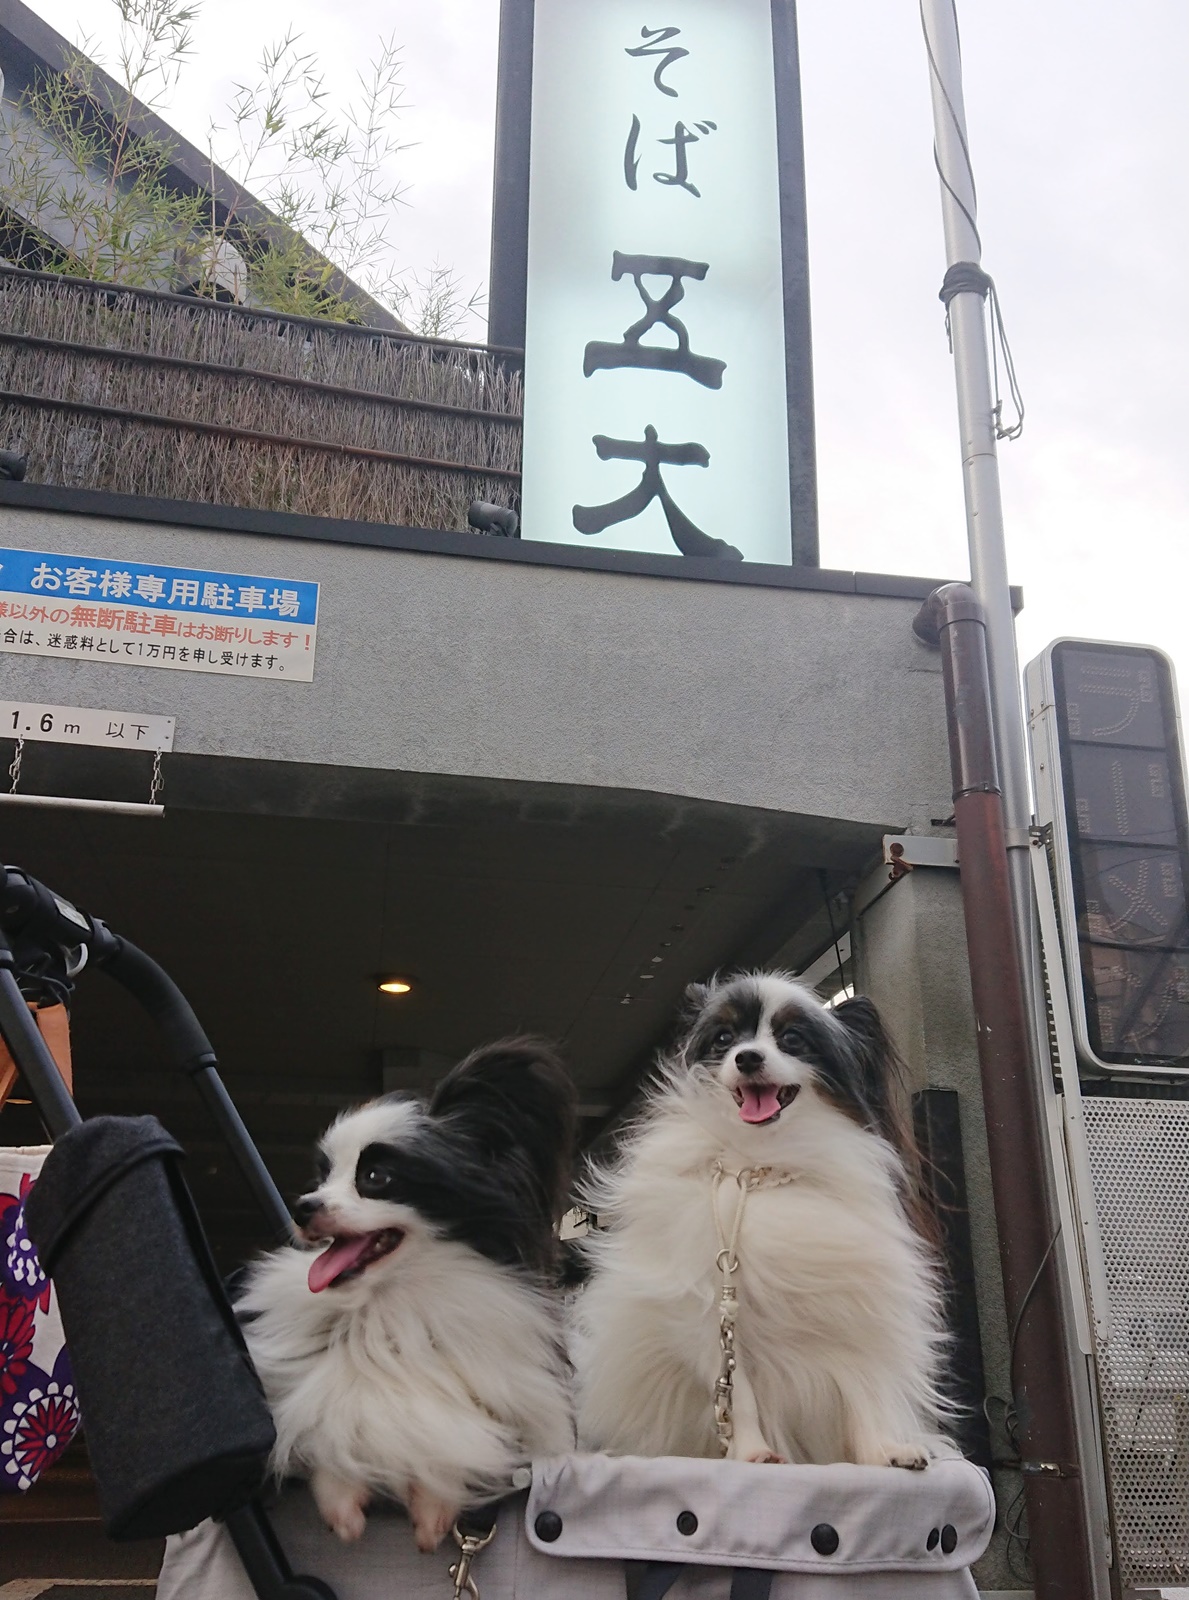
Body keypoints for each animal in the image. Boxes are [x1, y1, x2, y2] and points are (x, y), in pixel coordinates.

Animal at [235, 1036, 576, 1548]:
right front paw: (343, 1510)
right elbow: (329, 1433)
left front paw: (434, 1513)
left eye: (375, 1178)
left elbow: (452, 1446)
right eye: (322, 1177)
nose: (302, 1206)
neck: (389, 1306)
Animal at [572, 966, 953, 1465]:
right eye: (724, 1039)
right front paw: (753, 1453)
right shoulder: (707, 1316)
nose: (748, 1058)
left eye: (791, 1039)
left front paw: (883, 1451)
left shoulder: (853, 1301)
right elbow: (738, 1395)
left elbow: (864, 1385)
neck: (758, 1163)